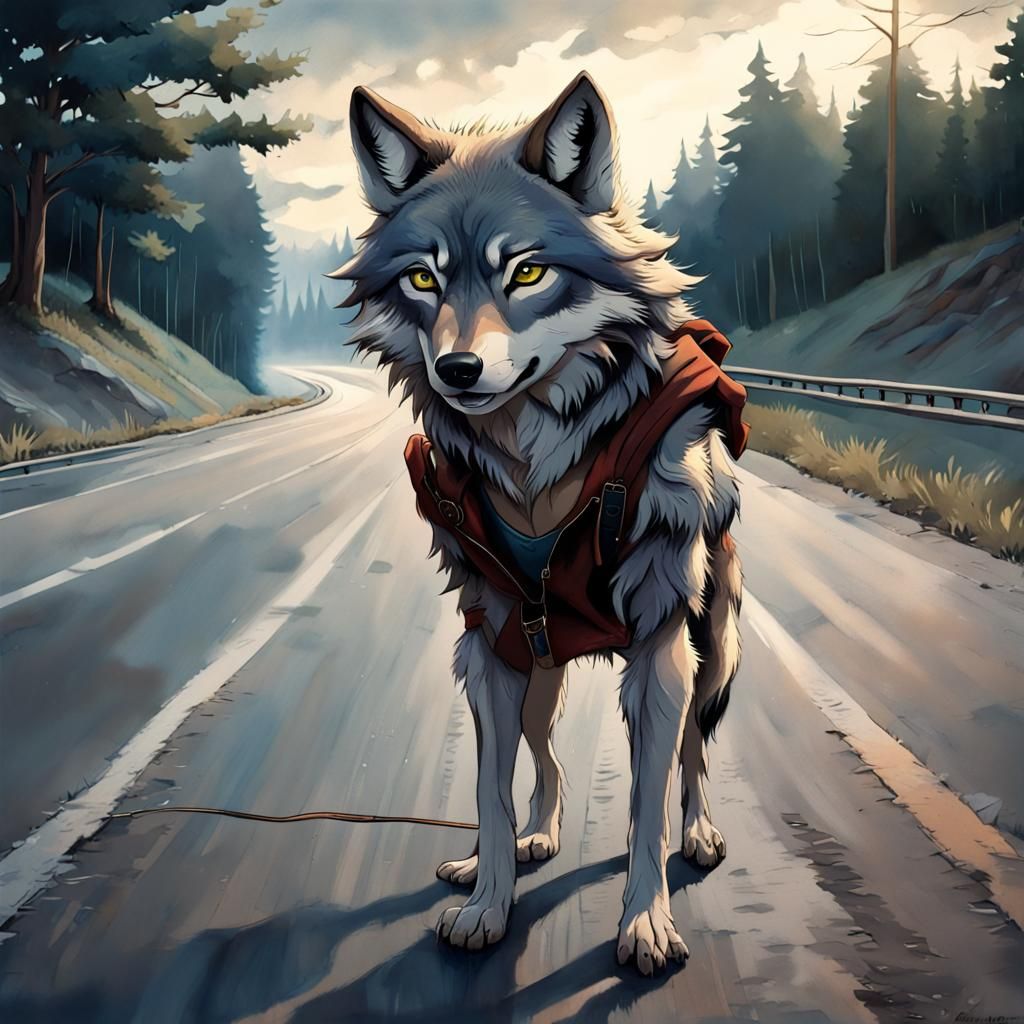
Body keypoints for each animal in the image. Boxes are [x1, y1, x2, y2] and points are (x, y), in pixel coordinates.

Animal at [333, 71, 746, 975]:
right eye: (423, 281)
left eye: (526, 272)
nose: (457, 369)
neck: (533, 461)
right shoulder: (488, 646)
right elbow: (490, 792)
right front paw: (487, 904)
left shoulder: (659, 646)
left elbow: (645, 806)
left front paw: (645, 925)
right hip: (536, 663)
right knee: (545, 756)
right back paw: (530, 841)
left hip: (710, 649)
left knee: (696, 750)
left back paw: (702, 831)